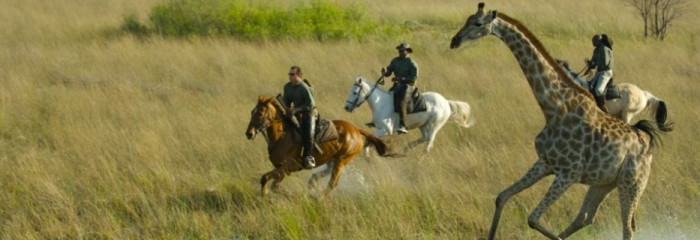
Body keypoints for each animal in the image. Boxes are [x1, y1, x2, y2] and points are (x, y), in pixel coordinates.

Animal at [245, 94, 400, 198]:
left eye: (260, 112)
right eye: (252, 111)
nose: (249, 133)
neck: (282, 136)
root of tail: (356, 130)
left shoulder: (286, 168)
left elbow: (270, 182)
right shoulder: (281, 170)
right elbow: (268, 180)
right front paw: (265, 194)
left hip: (342, 160)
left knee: (332, 183)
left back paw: (318, 198)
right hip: (333, 160)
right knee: (319, 176)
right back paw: (312, 188)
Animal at [344, 76, 476, 153]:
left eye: (355, 92)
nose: (346, 107)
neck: (380, 103)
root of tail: (446, 102)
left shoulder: (386, 130)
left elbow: (370, 139)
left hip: (434, 126)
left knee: (428, 144)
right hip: (422, 125)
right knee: (424, 138)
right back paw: (406, 149)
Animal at [452, 2, 660, 240]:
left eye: (478, 23)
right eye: (467, 19)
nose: (454, 41)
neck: (554, 109)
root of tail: (648, 144)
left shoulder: (568, 173)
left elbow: (532, 218)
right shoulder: (545, 163)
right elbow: (502, 197)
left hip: (632, 183)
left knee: (627, 227)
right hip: (604, 183)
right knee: (586, 217)